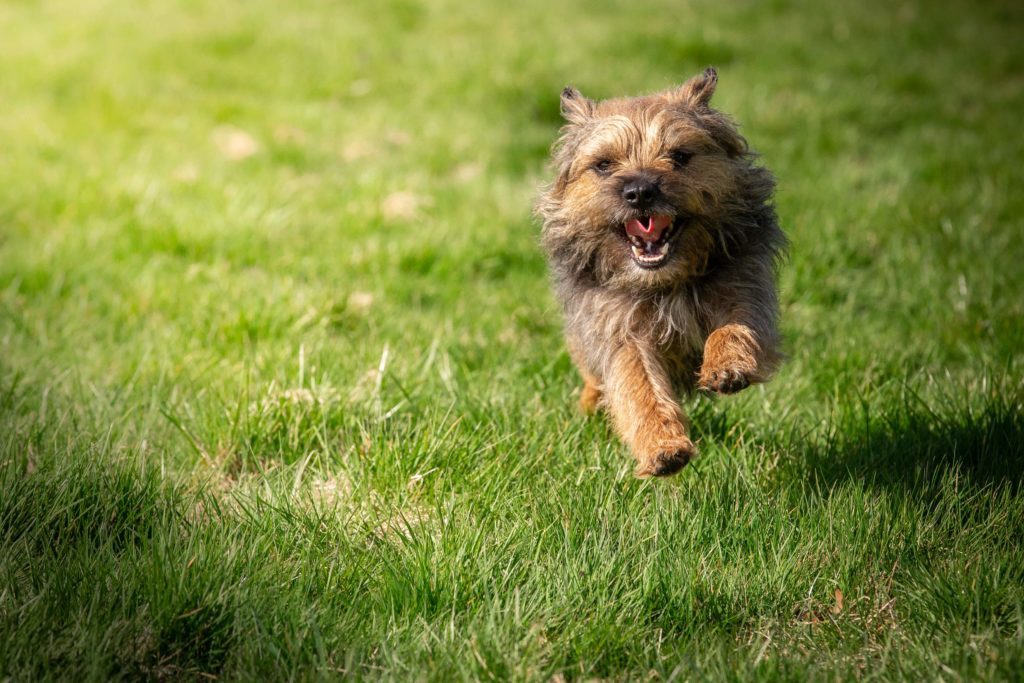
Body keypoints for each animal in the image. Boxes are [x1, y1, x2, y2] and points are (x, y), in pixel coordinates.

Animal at [536, 68, 782, 475]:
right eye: (604, 164)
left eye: (679, 156)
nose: (640, 191)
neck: (666, 283)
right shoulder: (619, 330)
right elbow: (638, 386)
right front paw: (662, 447)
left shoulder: (743, 287)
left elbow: (734, 326)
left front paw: (727, 365)